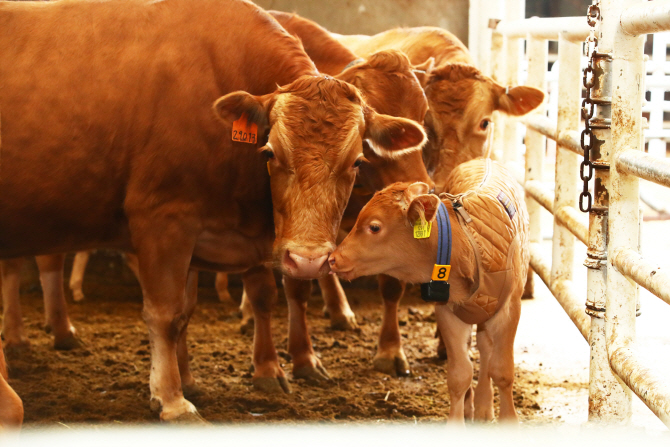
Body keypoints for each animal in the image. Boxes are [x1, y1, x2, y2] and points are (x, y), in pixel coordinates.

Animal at [0, 0, 426, 422]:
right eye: (270, 152)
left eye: (356, 161)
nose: (307, 260)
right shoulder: (163, 219)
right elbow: (166, 313)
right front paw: (172, 398)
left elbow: (194, 310)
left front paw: (190, 380)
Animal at [330, 159, 532, 426]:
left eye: (374, 227)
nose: (333, 258)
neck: (466, 245)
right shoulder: (448, 311)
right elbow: (459, 374)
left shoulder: (509, 310)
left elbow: (502, 371)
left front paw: (509, 421)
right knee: (482, 347)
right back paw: (479, 406)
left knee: (487, 350)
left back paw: (483, 406)